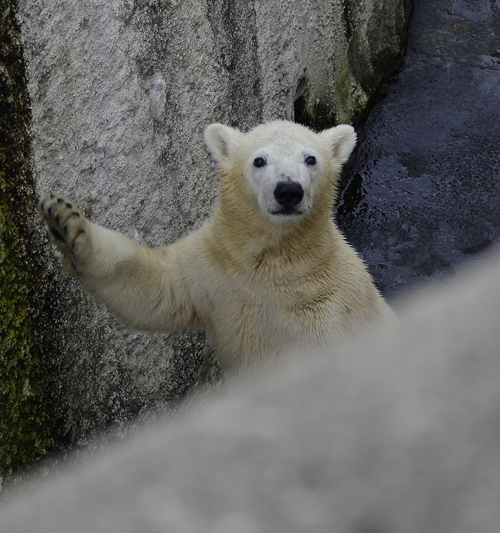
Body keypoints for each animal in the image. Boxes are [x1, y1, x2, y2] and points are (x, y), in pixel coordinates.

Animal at [41, 120, 390, 370]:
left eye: (311, 159)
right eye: (259, 160)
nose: (288, 190)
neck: (278, 261)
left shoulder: (330, 306)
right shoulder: (216, 272)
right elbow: (152, 290)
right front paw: (66, 222)